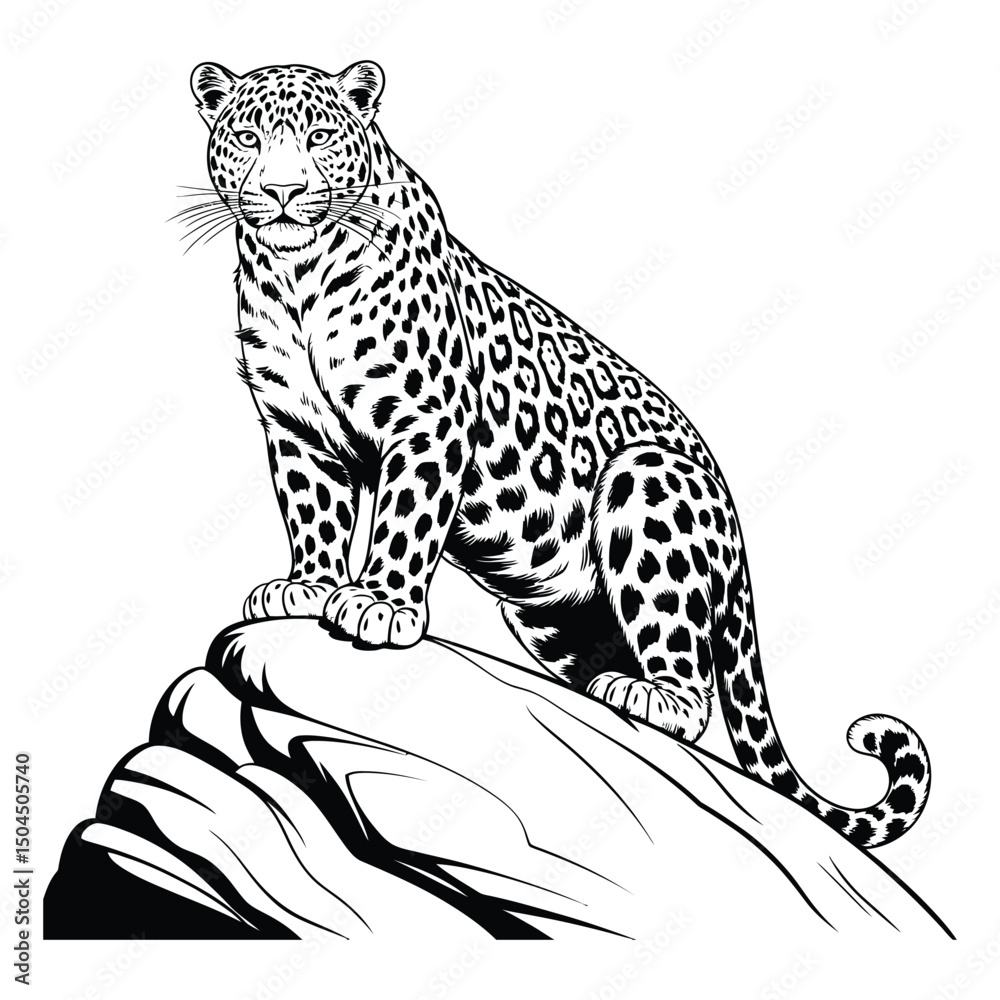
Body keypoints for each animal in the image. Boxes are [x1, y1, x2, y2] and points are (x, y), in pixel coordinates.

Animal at [188, 59, 930, 849]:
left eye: (321, 138)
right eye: (246, 137)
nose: (282, 189)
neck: (296, 274)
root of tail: (735, 532)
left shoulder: (428, 424)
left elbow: (404, 523)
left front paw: (379, 605)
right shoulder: (295, 430)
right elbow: (315, 519)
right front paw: (305, 588)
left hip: (647, 487)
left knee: (694, 692)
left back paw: (644, 697)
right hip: (554, 619)